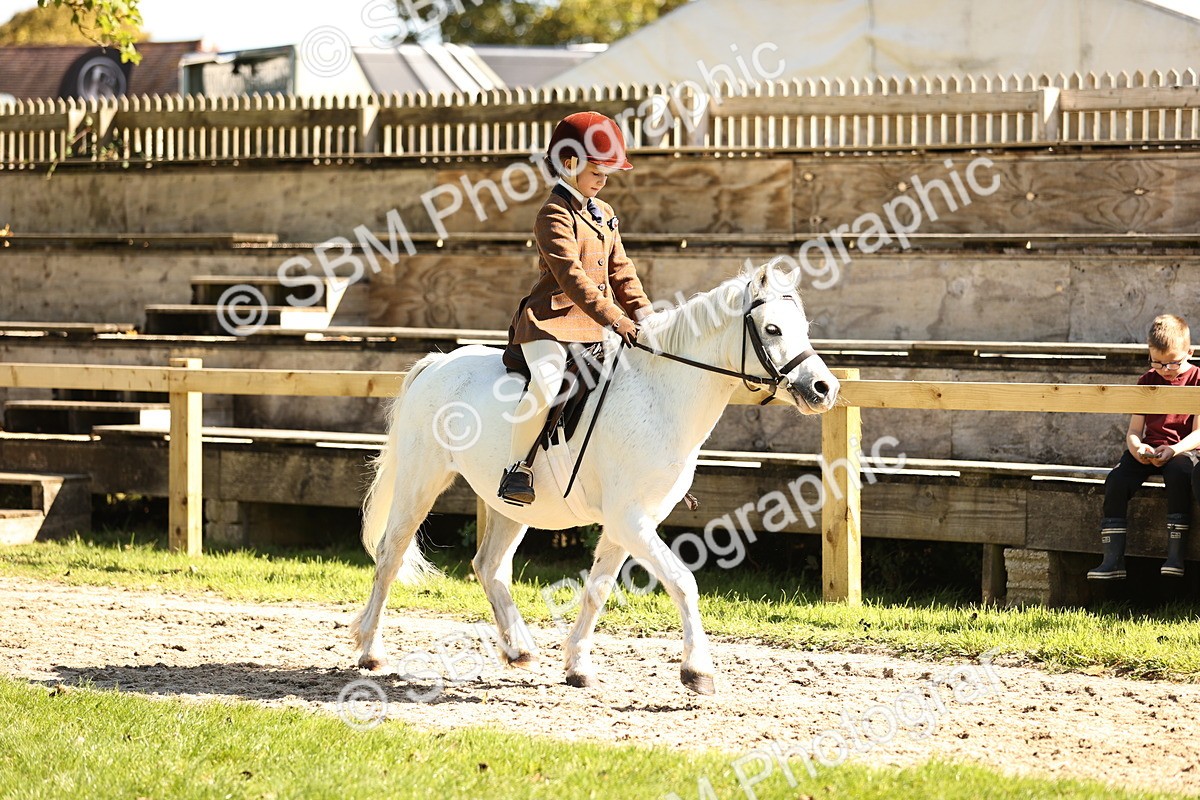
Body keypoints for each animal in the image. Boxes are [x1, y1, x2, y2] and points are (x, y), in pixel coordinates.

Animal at [352, 259, 840, 695]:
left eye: (804, 327)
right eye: (773, 330)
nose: (824, 389)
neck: (660, 396)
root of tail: (435, 365)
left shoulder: (630, 522)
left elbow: (598, 589)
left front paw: (578, 667)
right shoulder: (630, 519)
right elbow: (683, 581)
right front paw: (698, 671)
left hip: (510, 503)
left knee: (489, 566)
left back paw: (519, 649)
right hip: (420, 481)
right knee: (391, 555)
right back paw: (371, 652)